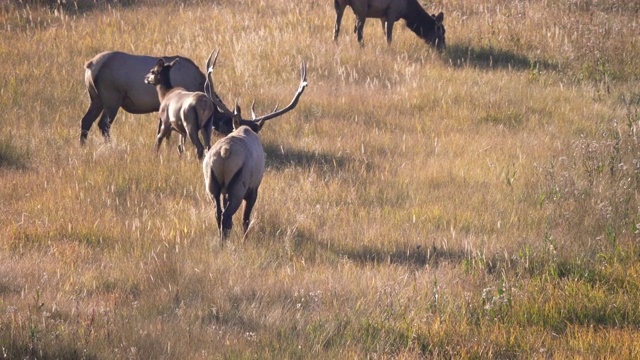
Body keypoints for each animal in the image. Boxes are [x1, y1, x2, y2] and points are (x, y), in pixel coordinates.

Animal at [202, 52, 308, 245]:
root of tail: (225, 152)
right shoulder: (254, 188)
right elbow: (246, 218)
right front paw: (245, 239)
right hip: (239, 185)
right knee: (228, 217)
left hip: (211, 183)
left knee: (218, 214)